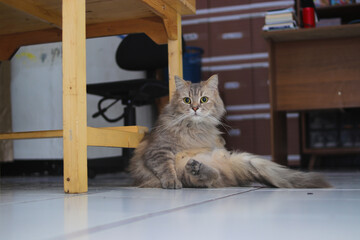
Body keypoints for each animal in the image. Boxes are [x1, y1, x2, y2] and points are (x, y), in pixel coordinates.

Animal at [128, 75, 330, 189]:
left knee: (213, 177)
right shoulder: (158, 151)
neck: (194, 129)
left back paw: (197, 167)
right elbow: (166, 169)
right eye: (187, 100)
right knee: (207, 178)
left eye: (203, 99)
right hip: (185, 171)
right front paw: (171, 183)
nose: (195, 108)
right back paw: (196, 168)